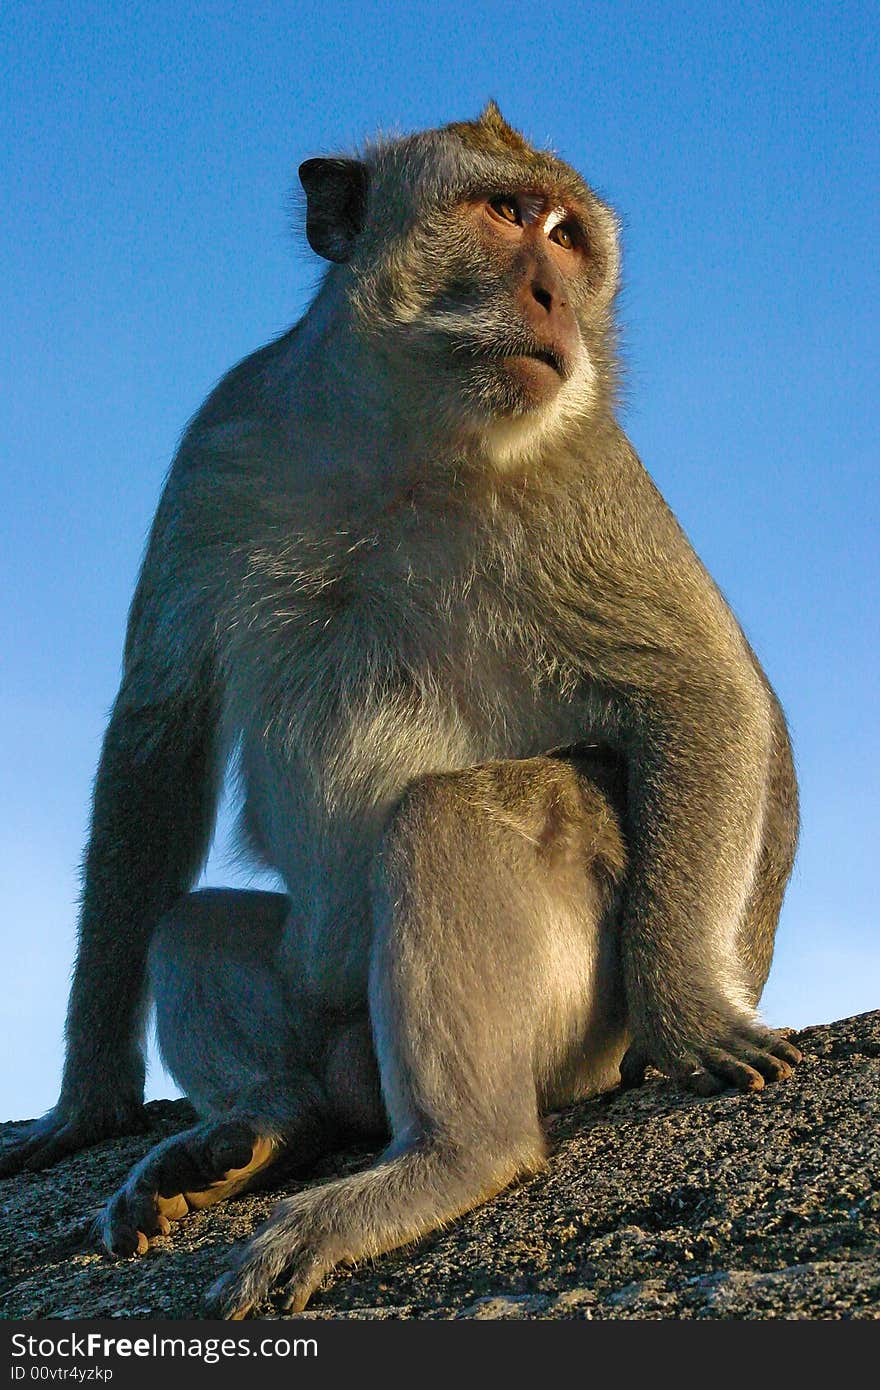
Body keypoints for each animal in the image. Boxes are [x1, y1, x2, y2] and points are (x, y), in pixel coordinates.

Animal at [0, 102, 800, 1317]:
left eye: (569, 238)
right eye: (506, 212)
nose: (553, 297)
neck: (400, 434)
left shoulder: (585, 471)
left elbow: (707, 689)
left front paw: (695, 1015)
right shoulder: (219, 441)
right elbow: (158, 736)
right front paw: (87, 1101)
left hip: (567, 1029)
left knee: (447, 820)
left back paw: (449, 1157)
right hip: (321, 1000)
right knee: (188, 927)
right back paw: (261, 1127)